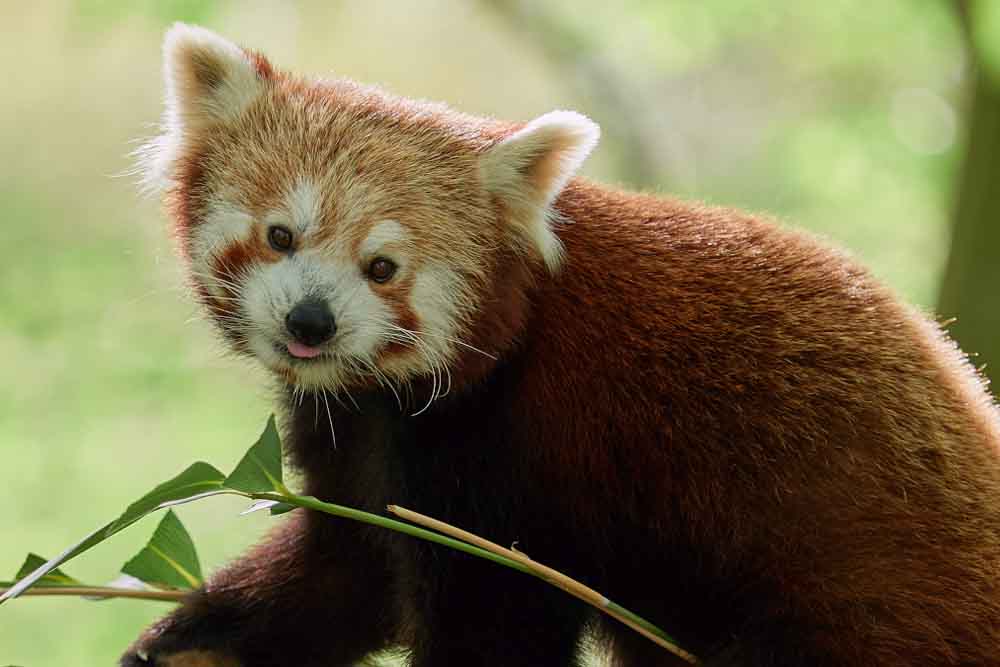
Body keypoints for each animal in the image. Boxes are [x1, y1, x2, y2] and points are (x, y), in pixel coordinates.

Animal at [125, 23, 1000, 664]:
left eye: (383, 268)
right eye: (281, 235)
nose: (311, 321)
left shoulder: (529, 458)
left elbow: (493, 626)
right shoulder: (362, 440)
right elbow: (346, 571)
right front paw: (195, 639)